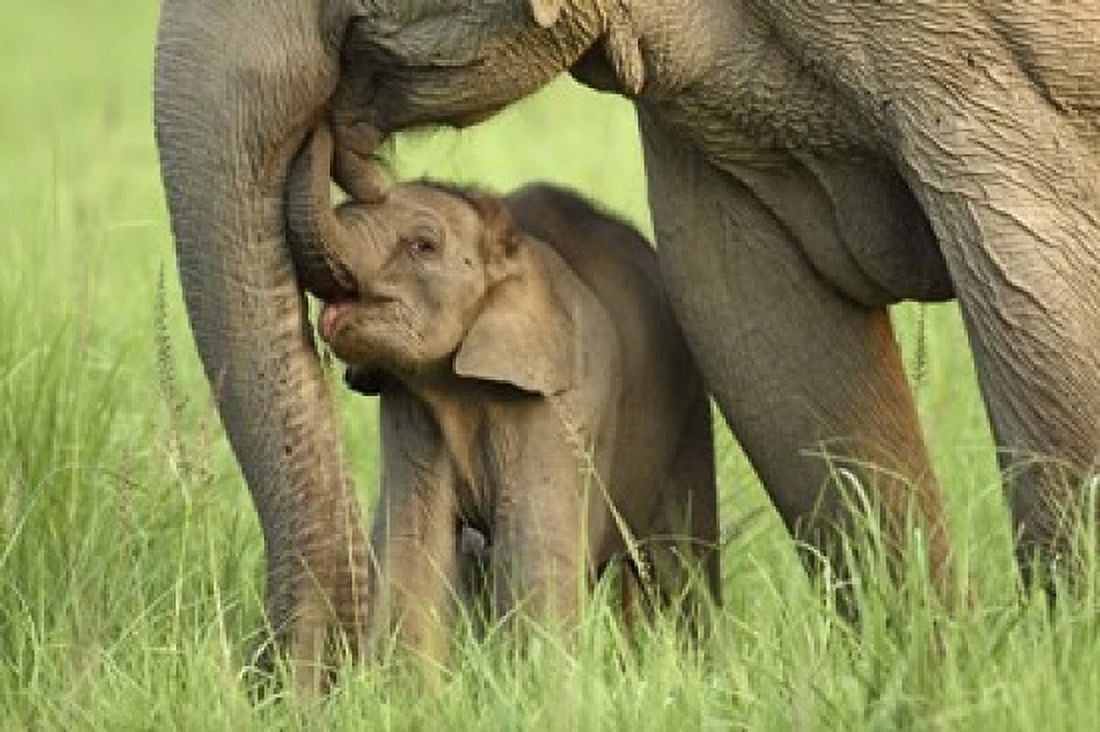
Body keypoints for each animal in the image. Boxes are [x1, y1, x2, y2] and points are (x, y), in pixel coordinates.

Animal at [285, 124, 720, 666]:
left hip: (688, 412)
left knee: (680, 559)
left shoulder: (561, 398)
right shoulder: (411, 405)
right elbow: (414, 541)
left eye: (423, 245)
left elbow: (533, 542)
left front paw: (543, 680)